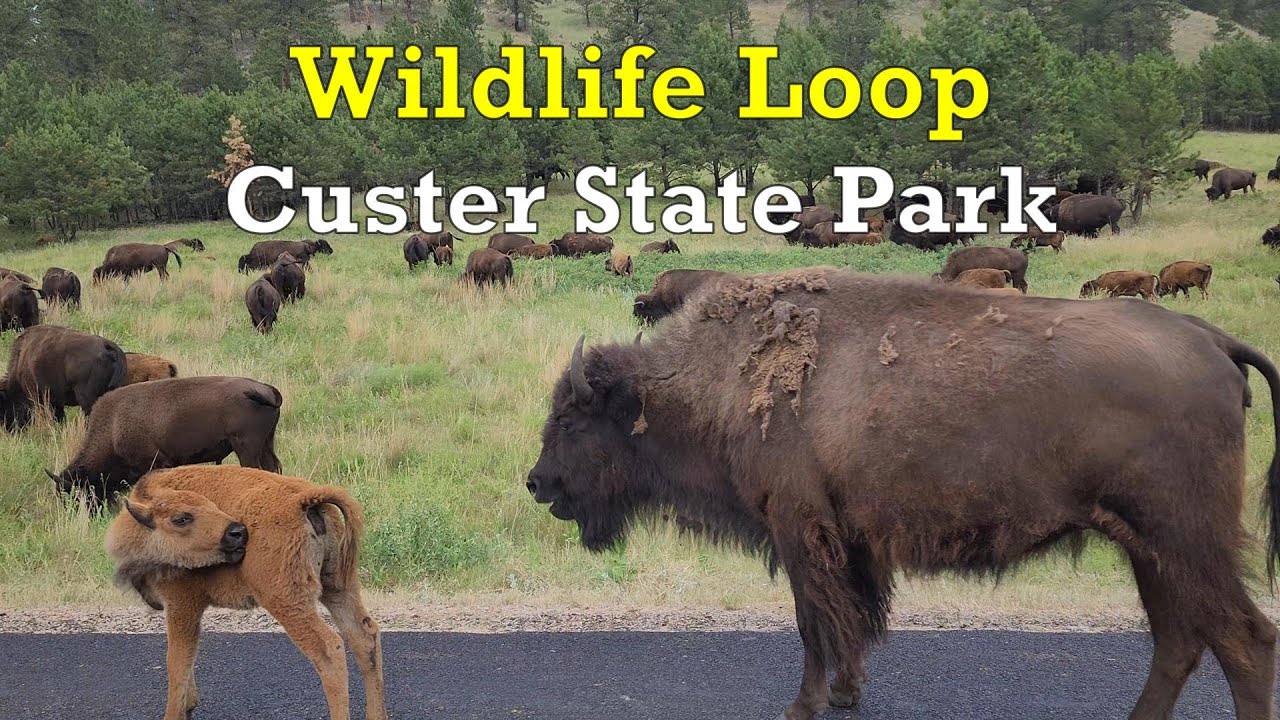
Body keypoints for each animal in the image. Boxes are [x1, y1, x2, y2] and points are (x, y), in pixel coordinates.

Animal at [528, 267, 1280, 720]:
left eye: (570, 418)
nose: (538, 482)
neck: (717, 380)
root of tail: (1214, 341)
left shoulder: (799, 529)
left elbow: (815, 622)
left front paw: (807, 705)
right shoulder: (843, 541)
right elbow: (849, 620)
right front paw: (847, 693)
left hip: (1185, 540)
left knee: (1243, 638)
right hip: (1150, 550)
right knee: (1179, 641)